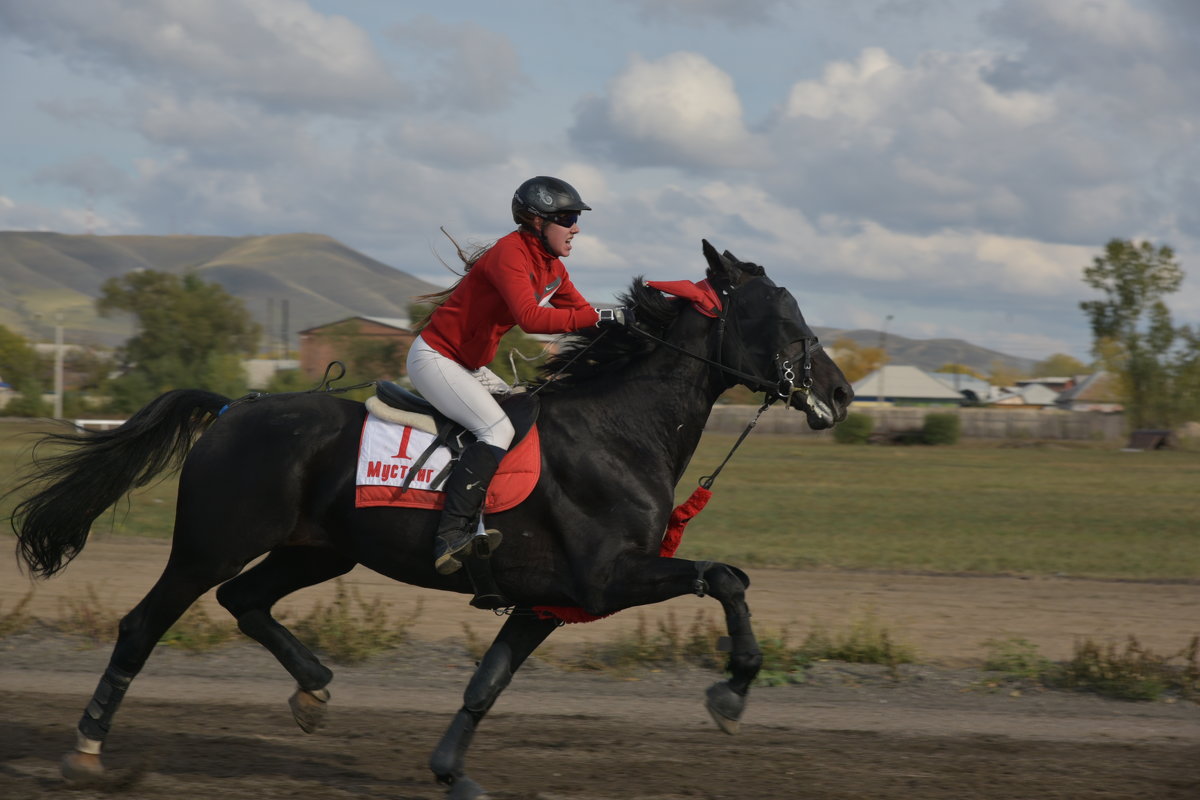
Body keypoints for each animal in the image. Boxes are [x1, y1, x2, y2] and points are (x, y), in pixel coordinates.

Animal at [9, 239, 854, 800]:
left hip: (317, 551)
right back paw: (87, 750)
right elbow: (726, 577)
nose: (842, 394)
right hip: (210, 544)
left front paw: (452, 774)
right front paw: (732, 693)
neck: (620, 429)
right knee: (144, 624)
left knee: (244, 600)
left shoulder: (547, 601)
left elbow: (487, 683)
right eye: (784, 317)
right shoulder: (608, 580)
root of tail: (230, 408)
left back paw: (314, 689)